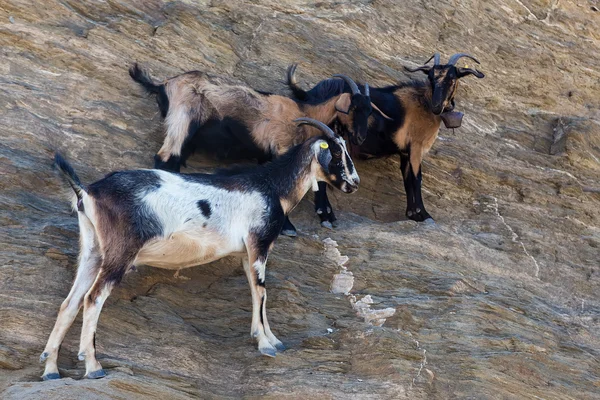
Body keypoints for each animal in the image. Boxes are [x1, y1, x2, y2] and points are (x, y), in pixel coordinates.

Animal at [41, 117, 360, 380]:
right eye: (336, 152)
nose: (354, 183)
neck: (270, 187)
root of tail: (87, 192)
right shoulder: (258, 244)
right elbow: (262, 292)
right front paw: (267, 345)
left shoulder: (245, 253)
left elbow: (254, 291)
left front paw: (271, 339)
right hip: (119, 253)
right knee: (92, 299)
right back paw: (93, 367)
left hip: (93, 251)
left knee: (69, 302)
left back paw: (50, 370)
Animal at [129, 64, 384, 236]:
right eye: (354, 108)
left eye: (370, 111)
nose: (360, 137)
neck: (303, 114)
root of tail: (163, 85)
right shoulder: (281, 148)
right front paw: (289, 227)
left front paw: (326, 217)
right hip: (182, 120)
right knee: (164, 158)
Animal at [284, 52, 486, 223]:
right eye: (430, 77)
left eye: (452, 78)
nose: (437, 106)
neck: (423, 103)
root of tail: (312, 94)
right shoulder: (416, 146)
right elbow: (417, 178)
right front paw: (425, 215)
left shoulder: (405, 151)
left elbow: (407, 179)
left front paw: (413, 214)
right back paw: (326, 215)